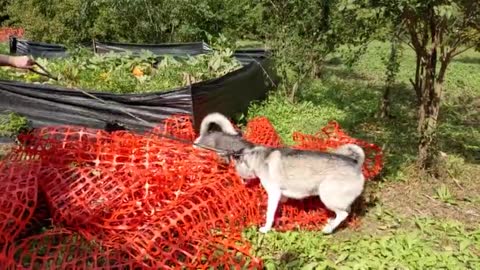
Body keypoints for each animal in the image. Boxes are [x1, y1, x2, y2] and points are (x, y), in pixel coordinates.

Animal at [232, 143, 364, 234]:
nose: (240, 181)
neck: (258, 158)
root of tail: (356, 165)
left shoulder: (274, 193)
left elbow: (270, 213)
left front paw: (266, 228)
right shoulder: (280, 195)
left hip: (326, 195)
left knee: (343, 214)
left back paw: (328, 229)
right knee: (347, 210)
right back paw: (332, 222)